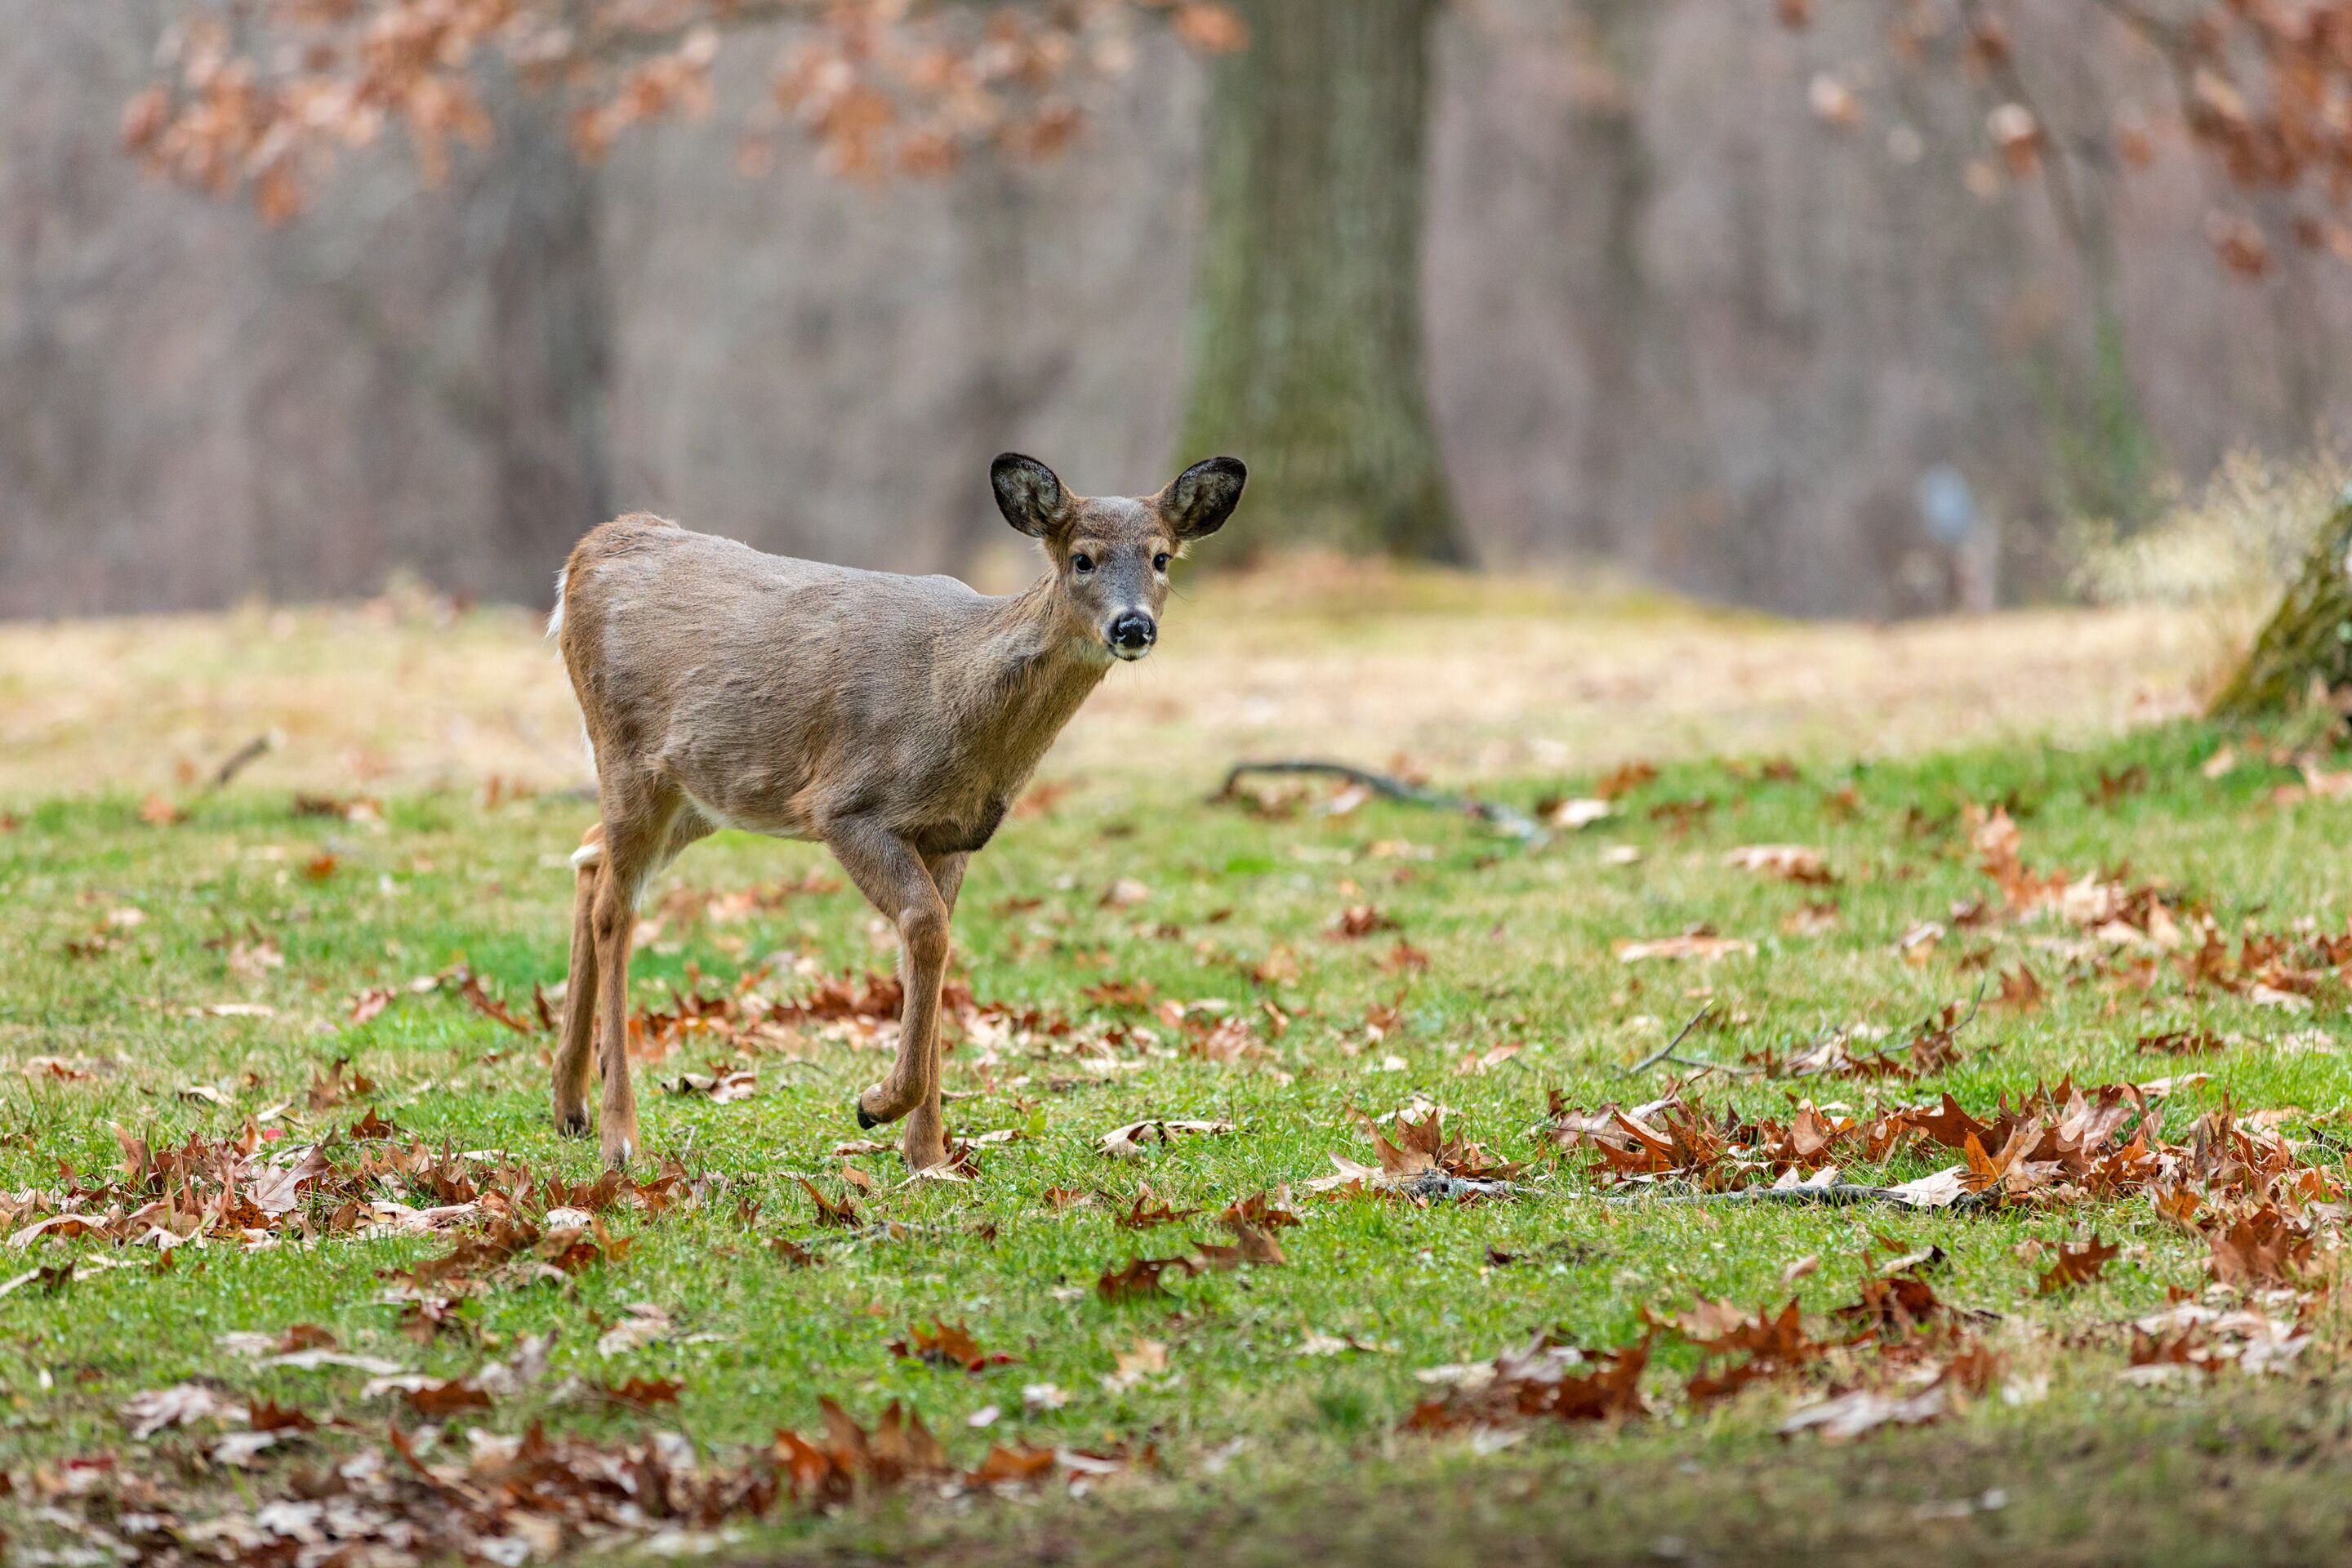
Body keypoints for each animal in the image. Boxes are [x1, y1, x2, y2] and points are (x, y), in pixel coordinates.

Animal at [547, 453, 1247, 1172]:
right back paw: (620, 1136)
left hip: (700, 793)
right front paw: (876, 1105)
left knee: (590, 858)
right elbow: (925, 928)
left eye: (1162, 557)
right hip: (628, 756)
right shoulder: (848, 806)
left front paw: (929, 1155)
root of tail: (586, 554)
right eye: (1082, 558)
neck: (953, 692)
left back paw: (570, 1106)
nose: (1133, 626)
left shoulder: (952, 835)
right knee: (615, 910)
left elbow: (932, 950)